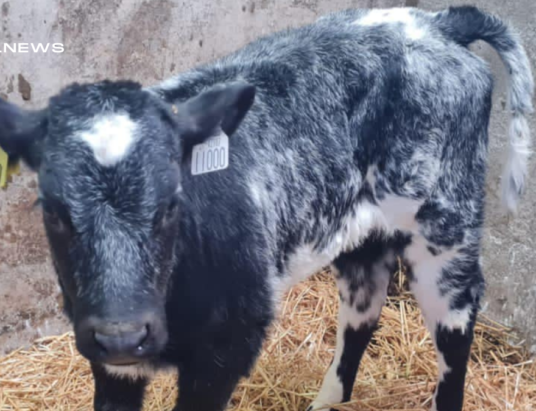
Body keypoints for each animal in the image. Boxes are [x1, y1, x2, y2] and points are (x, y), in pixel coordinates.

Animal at [0, 5, 532, 411]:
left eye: (171, 204)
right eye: (53, 212)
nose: (122, 334)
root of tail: (436, 21)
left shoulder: (229, 345)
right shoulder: (107, 358)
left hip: (447, 224)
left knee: (455, 324)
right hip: (357, 228)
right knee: (363, 305)